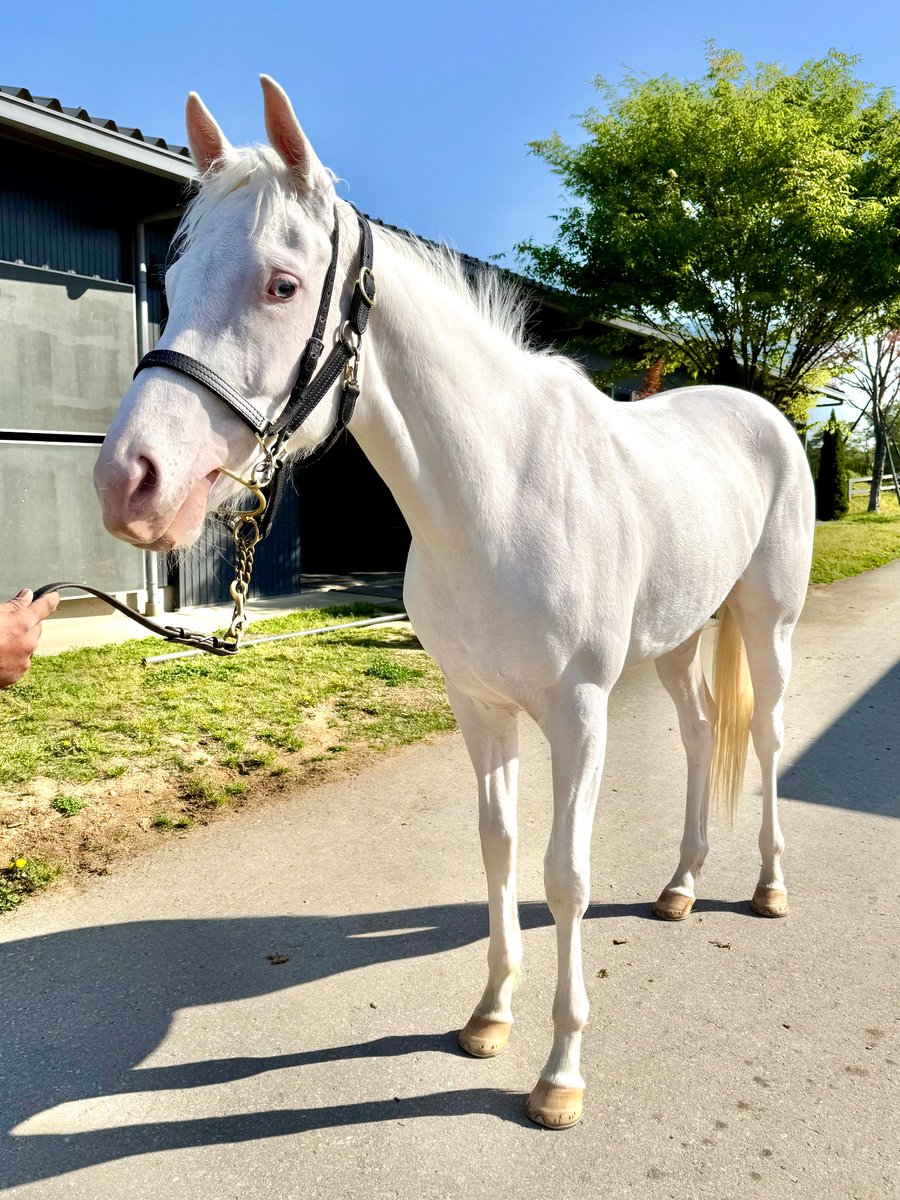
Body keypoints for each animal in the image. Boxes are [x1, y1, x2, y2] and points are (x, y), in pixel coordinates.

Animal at [94, 76, 815, 1129]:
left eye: (281, 284)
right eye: (173, 278)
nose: (129, 483)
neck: (502, 491)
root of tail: (765, 415)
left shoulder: (579, 714)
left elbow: (564, 874)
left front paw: (560, 1075)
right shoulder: (479, 708)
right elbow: (499, 851)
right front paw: (488, 1018)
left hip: (767, 625)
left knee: (760, 737)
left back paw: (766, 887)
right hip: (681, 639)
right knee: (696, 733)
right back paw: (682, 886)